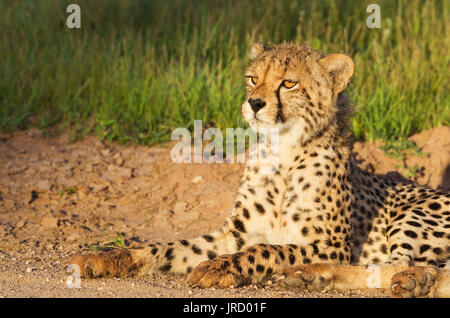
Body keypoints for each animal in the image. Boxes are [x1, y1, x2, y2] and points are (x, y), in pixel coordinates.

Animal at [67, 42, 450, 298]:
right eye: (253, 78)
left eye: (289, 83)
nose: (254, 103)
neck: (282, 152)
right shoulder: (231, 235)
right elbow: (165, 249)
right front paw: (106, 258)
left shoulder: (331, 246)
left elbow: (268, 249)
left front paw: (221, 267)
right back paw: (311, 277)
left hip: (412, 217)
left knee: (403, 265)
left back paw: (411, 280)